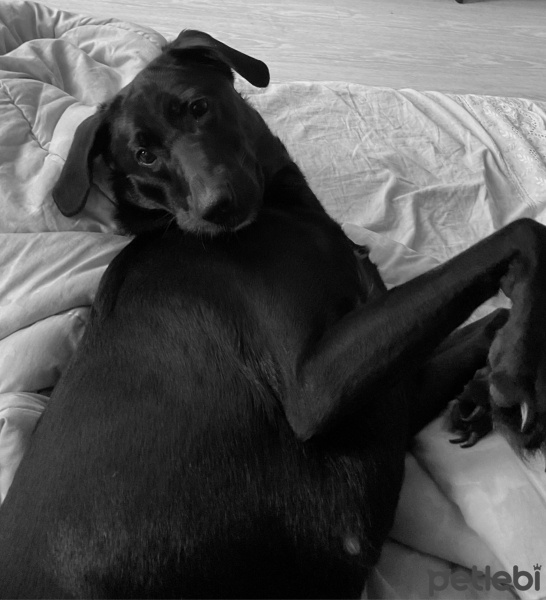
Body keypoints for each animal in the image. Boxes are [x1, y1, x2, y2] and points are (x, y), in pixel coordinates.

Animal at [1, 30, 544, 596]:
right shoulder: (315, 388)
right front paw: (512, 376)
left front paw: (497, 382)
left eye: (198, 107)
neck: (279, 213)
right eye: (143, 155)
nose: (216, 208)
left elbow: (489, 321)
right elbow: (524, 234)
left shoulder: (394, 395)